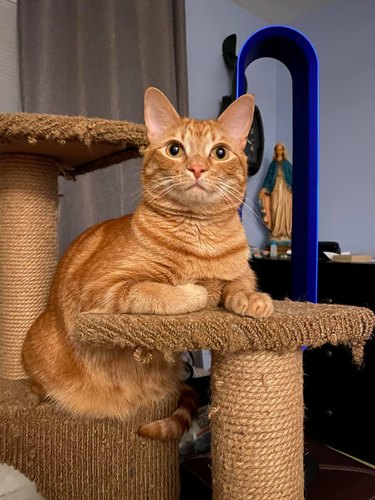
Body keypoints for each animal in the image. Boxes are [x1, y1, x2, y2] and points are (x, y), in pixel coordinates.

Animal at [22, 88, 274, 440]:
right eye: (175, 149)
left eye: (220, 152)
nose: (197, 168)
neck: (201, 239)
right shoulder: (103, 290)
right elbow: (161, 292)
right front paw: (199, 292)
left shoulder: (240, 272)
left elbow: (239, 284)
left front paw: (251, 299)